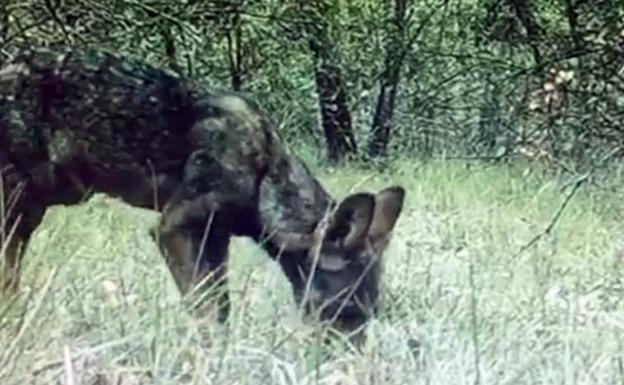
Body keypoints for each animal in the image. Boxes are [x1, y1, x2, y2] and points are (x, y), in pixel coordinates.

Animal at [0, 45, 404, 338]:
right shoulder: (173, 228)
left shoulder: (215, 237)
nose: (351, 359)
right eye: (347, 309)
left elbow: (220, 306)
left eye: (372, 313)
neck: (263, 178)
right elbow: (206, 310)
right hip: (18, 208)